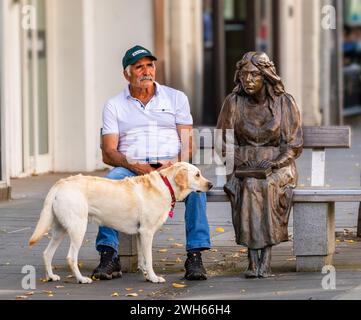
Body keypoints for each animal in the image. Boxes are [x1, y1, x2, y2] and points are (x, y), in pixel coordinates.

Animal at [30, 164, 214, 284]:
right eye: (197, 175)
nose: (211, 184)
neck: (166, 186)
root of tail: (61, 183)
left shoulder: (140, 233)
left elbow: (143, 259)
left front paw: (146, 275)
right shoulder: (147, 232)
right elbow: (149, 258)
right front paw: (154, 278)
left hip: (59, 229)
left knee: (47, 253)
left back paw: (51, 276)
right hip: (78, 228)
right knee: (71, 257)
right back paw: (82, 279)